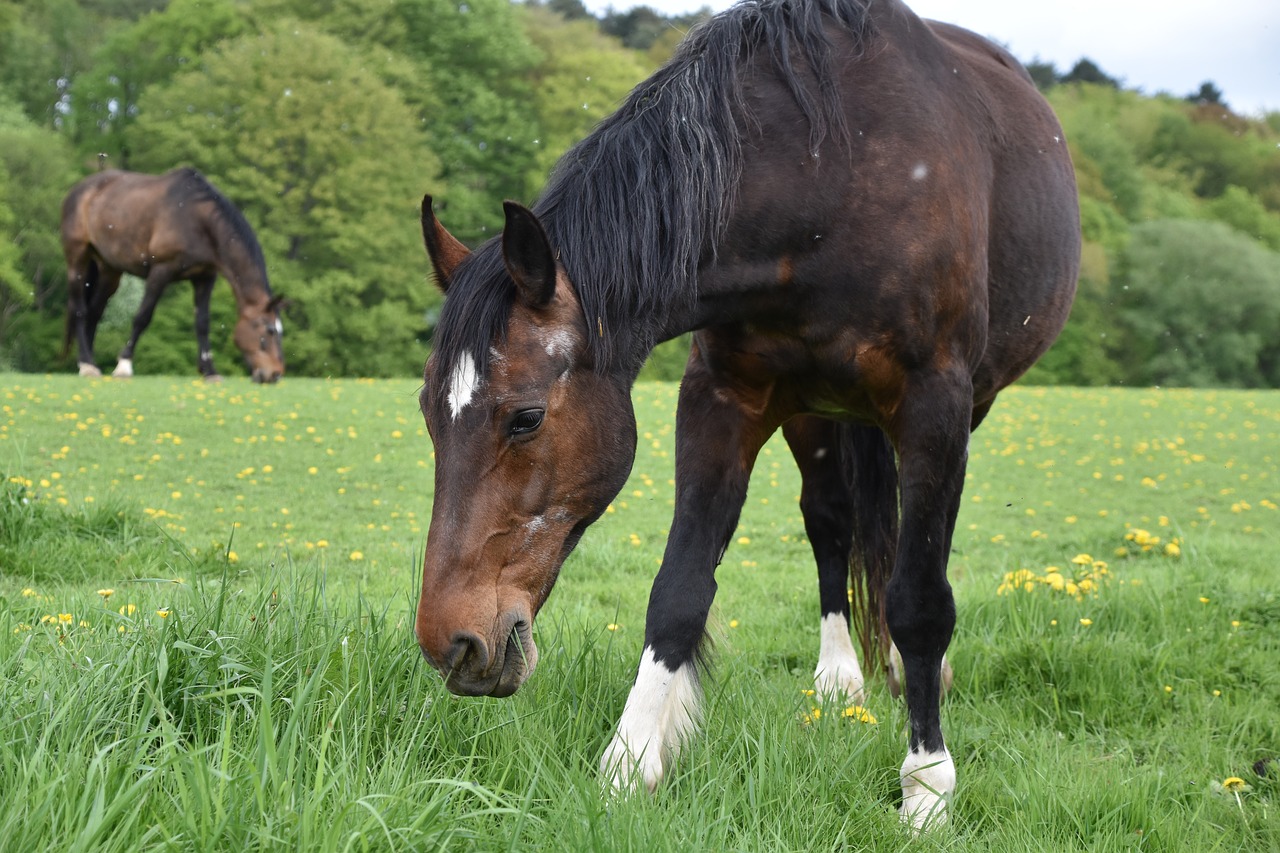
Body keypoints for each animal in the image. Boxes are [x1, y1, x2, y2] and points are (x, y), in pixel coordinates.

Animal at [61, 167, 285, 379]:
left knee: (94, 313)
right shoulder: (160, 272)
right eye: (268, 332)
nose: (274, 374)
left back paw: (88, 362)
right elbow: (142, 317)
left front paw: (209, 370)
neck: (197, 220)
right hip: (77, 260)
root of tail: (79, 189)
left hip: (110, 270)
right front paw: (124, 365)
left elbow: (202, 323)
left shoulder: (205, 278)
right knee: (80, 310)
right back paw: (87, 365)